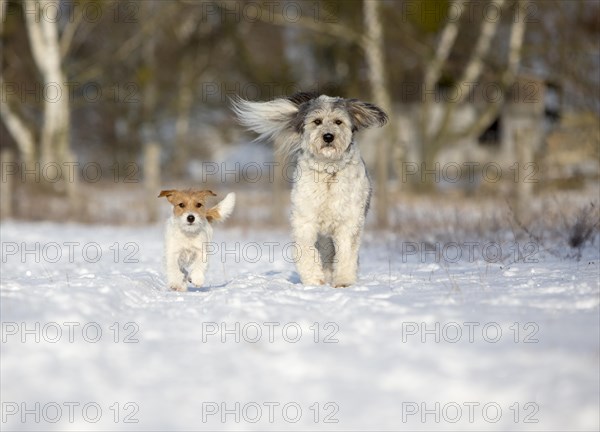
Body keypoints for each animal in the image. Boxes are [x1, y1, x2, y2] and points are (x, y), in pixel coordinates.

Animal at [232, 92, 386, 286]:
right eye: (317, 121)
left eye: (338, 121)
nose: (328, 136)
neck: (328, 172)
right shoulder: (305, 218)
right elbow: (305, 248)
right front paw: (314, 279)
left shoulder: (349, 221)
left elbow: (347, 252)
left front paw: (343, 281)